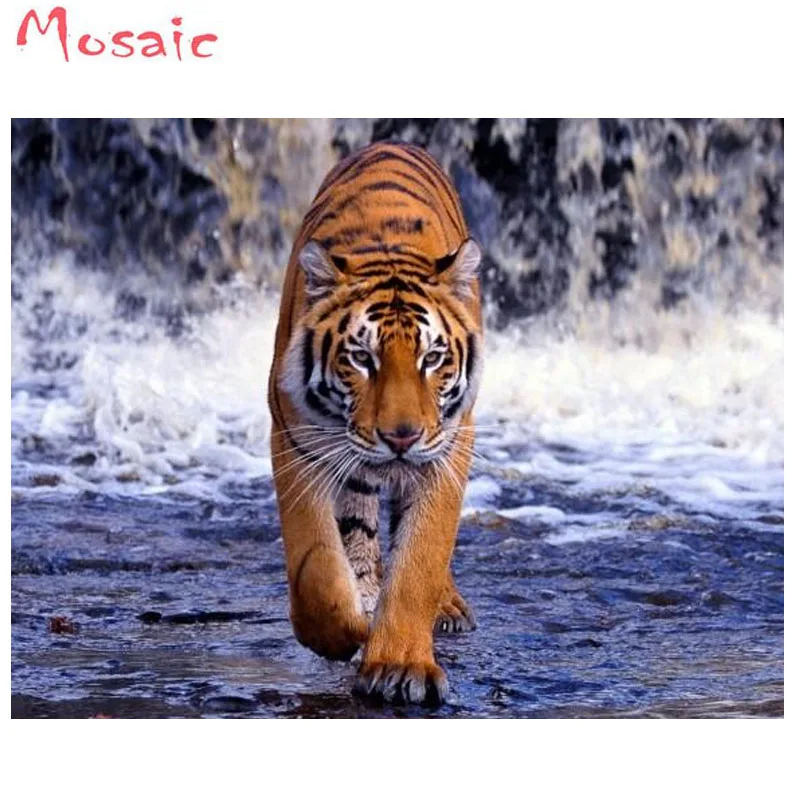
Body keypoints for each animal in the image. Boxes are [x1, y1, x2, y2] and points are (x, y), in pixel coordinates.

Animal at [267, 141, 483, 705]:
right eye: (362, 358)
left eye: (433, 358)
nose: (401, 437)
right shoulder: (297, 440)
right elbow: (317, 563)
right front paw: (344, 632)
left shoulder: (447, 448)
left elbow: (421, 558)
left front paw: (399, 664)